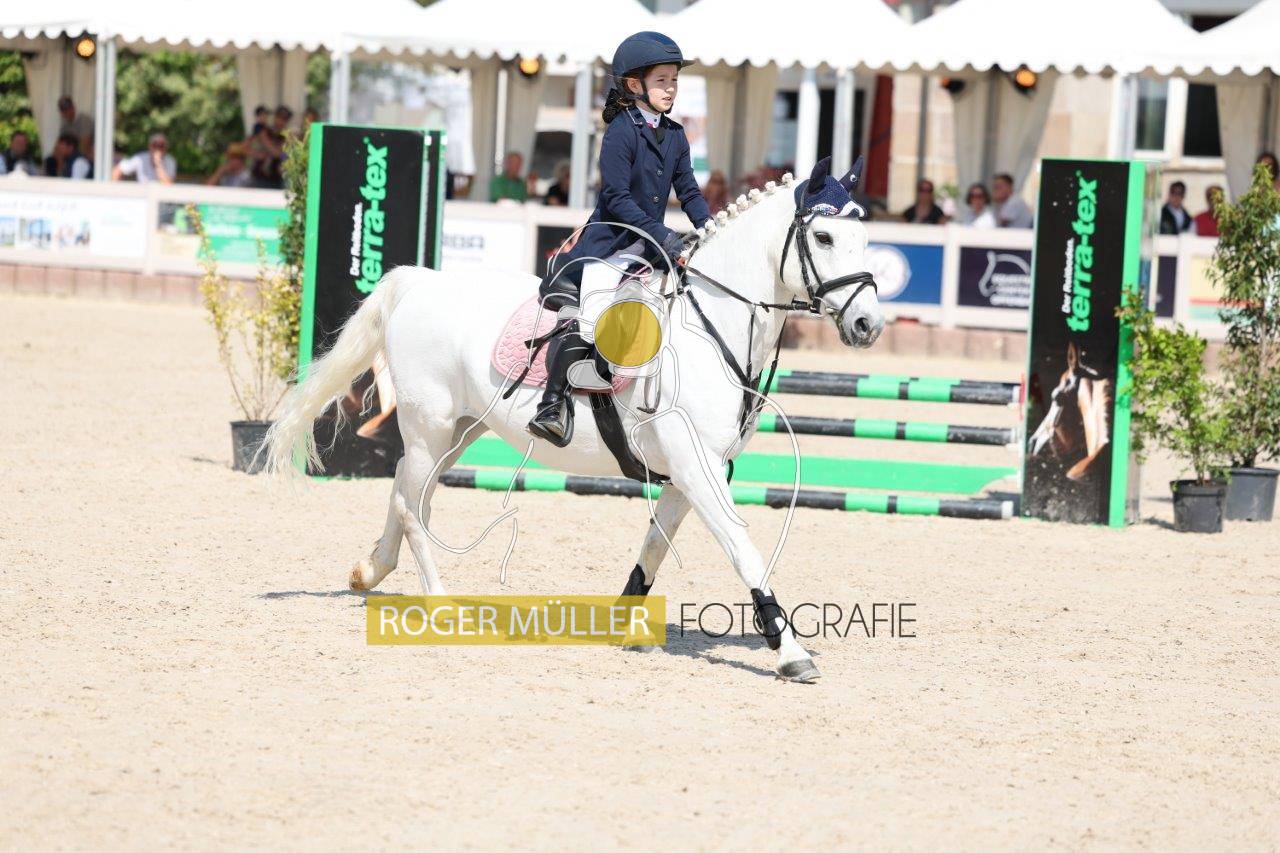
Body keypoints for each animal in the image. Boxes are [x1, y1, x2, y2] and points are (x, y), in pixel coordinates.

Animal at [262, 157, 885, 682]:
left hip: (457, 430)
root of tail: (421, 280)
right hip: (430, 426)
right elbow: (740, 546)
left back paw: (370, 571)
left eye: (865, 239)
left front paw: (623, 624)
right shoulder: (695, 463)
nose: (868, 326)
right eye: (824, 237)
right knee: (412, 504)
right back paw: (439, 602)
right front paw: (791, 652)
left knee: (405, 493)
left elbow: (655, 544)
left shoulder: (694, 470)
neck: (711, 327)